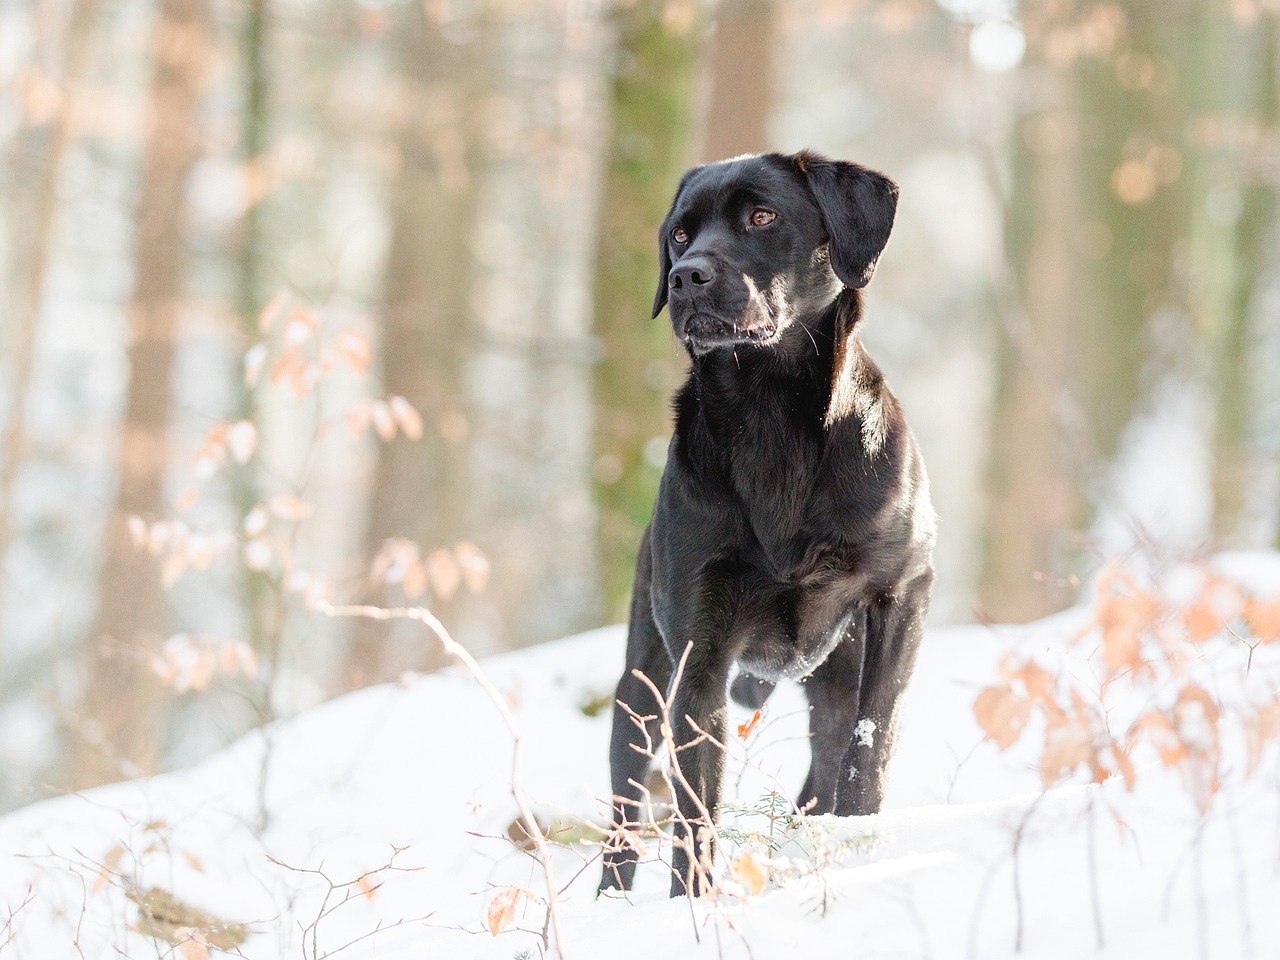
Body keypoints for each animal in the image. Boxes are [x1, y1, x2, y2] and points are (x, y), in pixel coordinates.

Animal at [593, 150, 936, 901]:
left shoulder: (902, 595)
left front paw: (862, 845)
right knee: (627, 797)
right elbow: (696, 805)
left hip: (834, 670)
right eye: (681, 234)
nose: (686, 276)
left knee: (825, 764)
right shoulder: (699, 652)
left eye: (761, 217)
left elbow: (870, 744)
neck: (769, 418)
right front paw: (690, 906)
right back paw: (611, 898)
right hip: (641, 679)